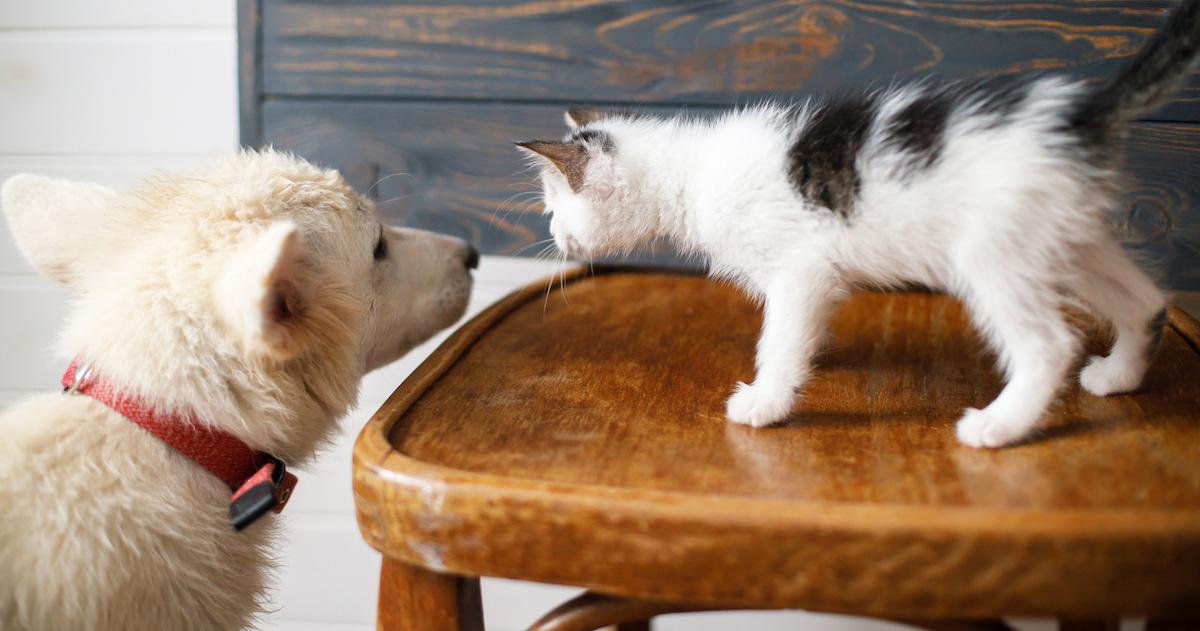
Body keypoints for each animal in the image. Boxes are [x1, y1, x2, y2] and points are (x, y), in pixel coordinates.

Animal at [518, 1, 1200, 451]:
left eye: (554, 205)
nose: (552, 234)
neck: (691, 171)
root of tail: (1085, 112)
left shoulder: (799, 267)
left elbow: (779, 336)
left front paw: (767, 401)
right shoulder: (813, 279)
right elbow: (802, 327)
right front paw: (809, 359)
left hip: (995, 250)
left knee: (1050, 344)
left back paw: (999, 425)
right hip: (1066, 237)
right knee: (1146, 301)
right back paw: (1119, 375)